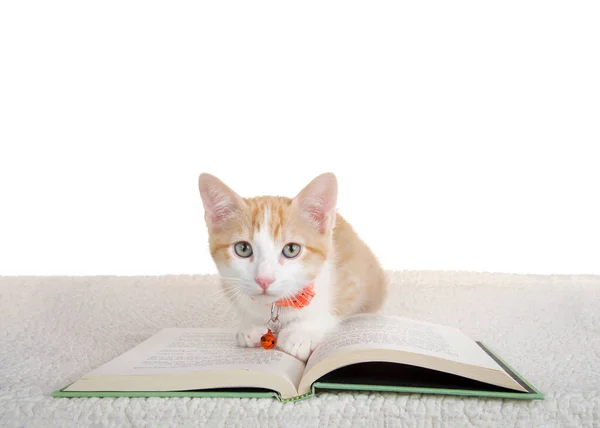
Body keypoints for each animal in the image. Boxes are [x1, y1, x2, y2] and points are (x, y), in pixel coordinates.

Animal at [197, 172, 384, 360]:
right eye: (243, 248)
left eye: (291, 249)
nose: (264, 280)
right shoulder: (229, 284)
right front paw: (251, 325)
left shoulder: (354, 275)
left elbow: (339, 306)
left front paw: (300, 334)